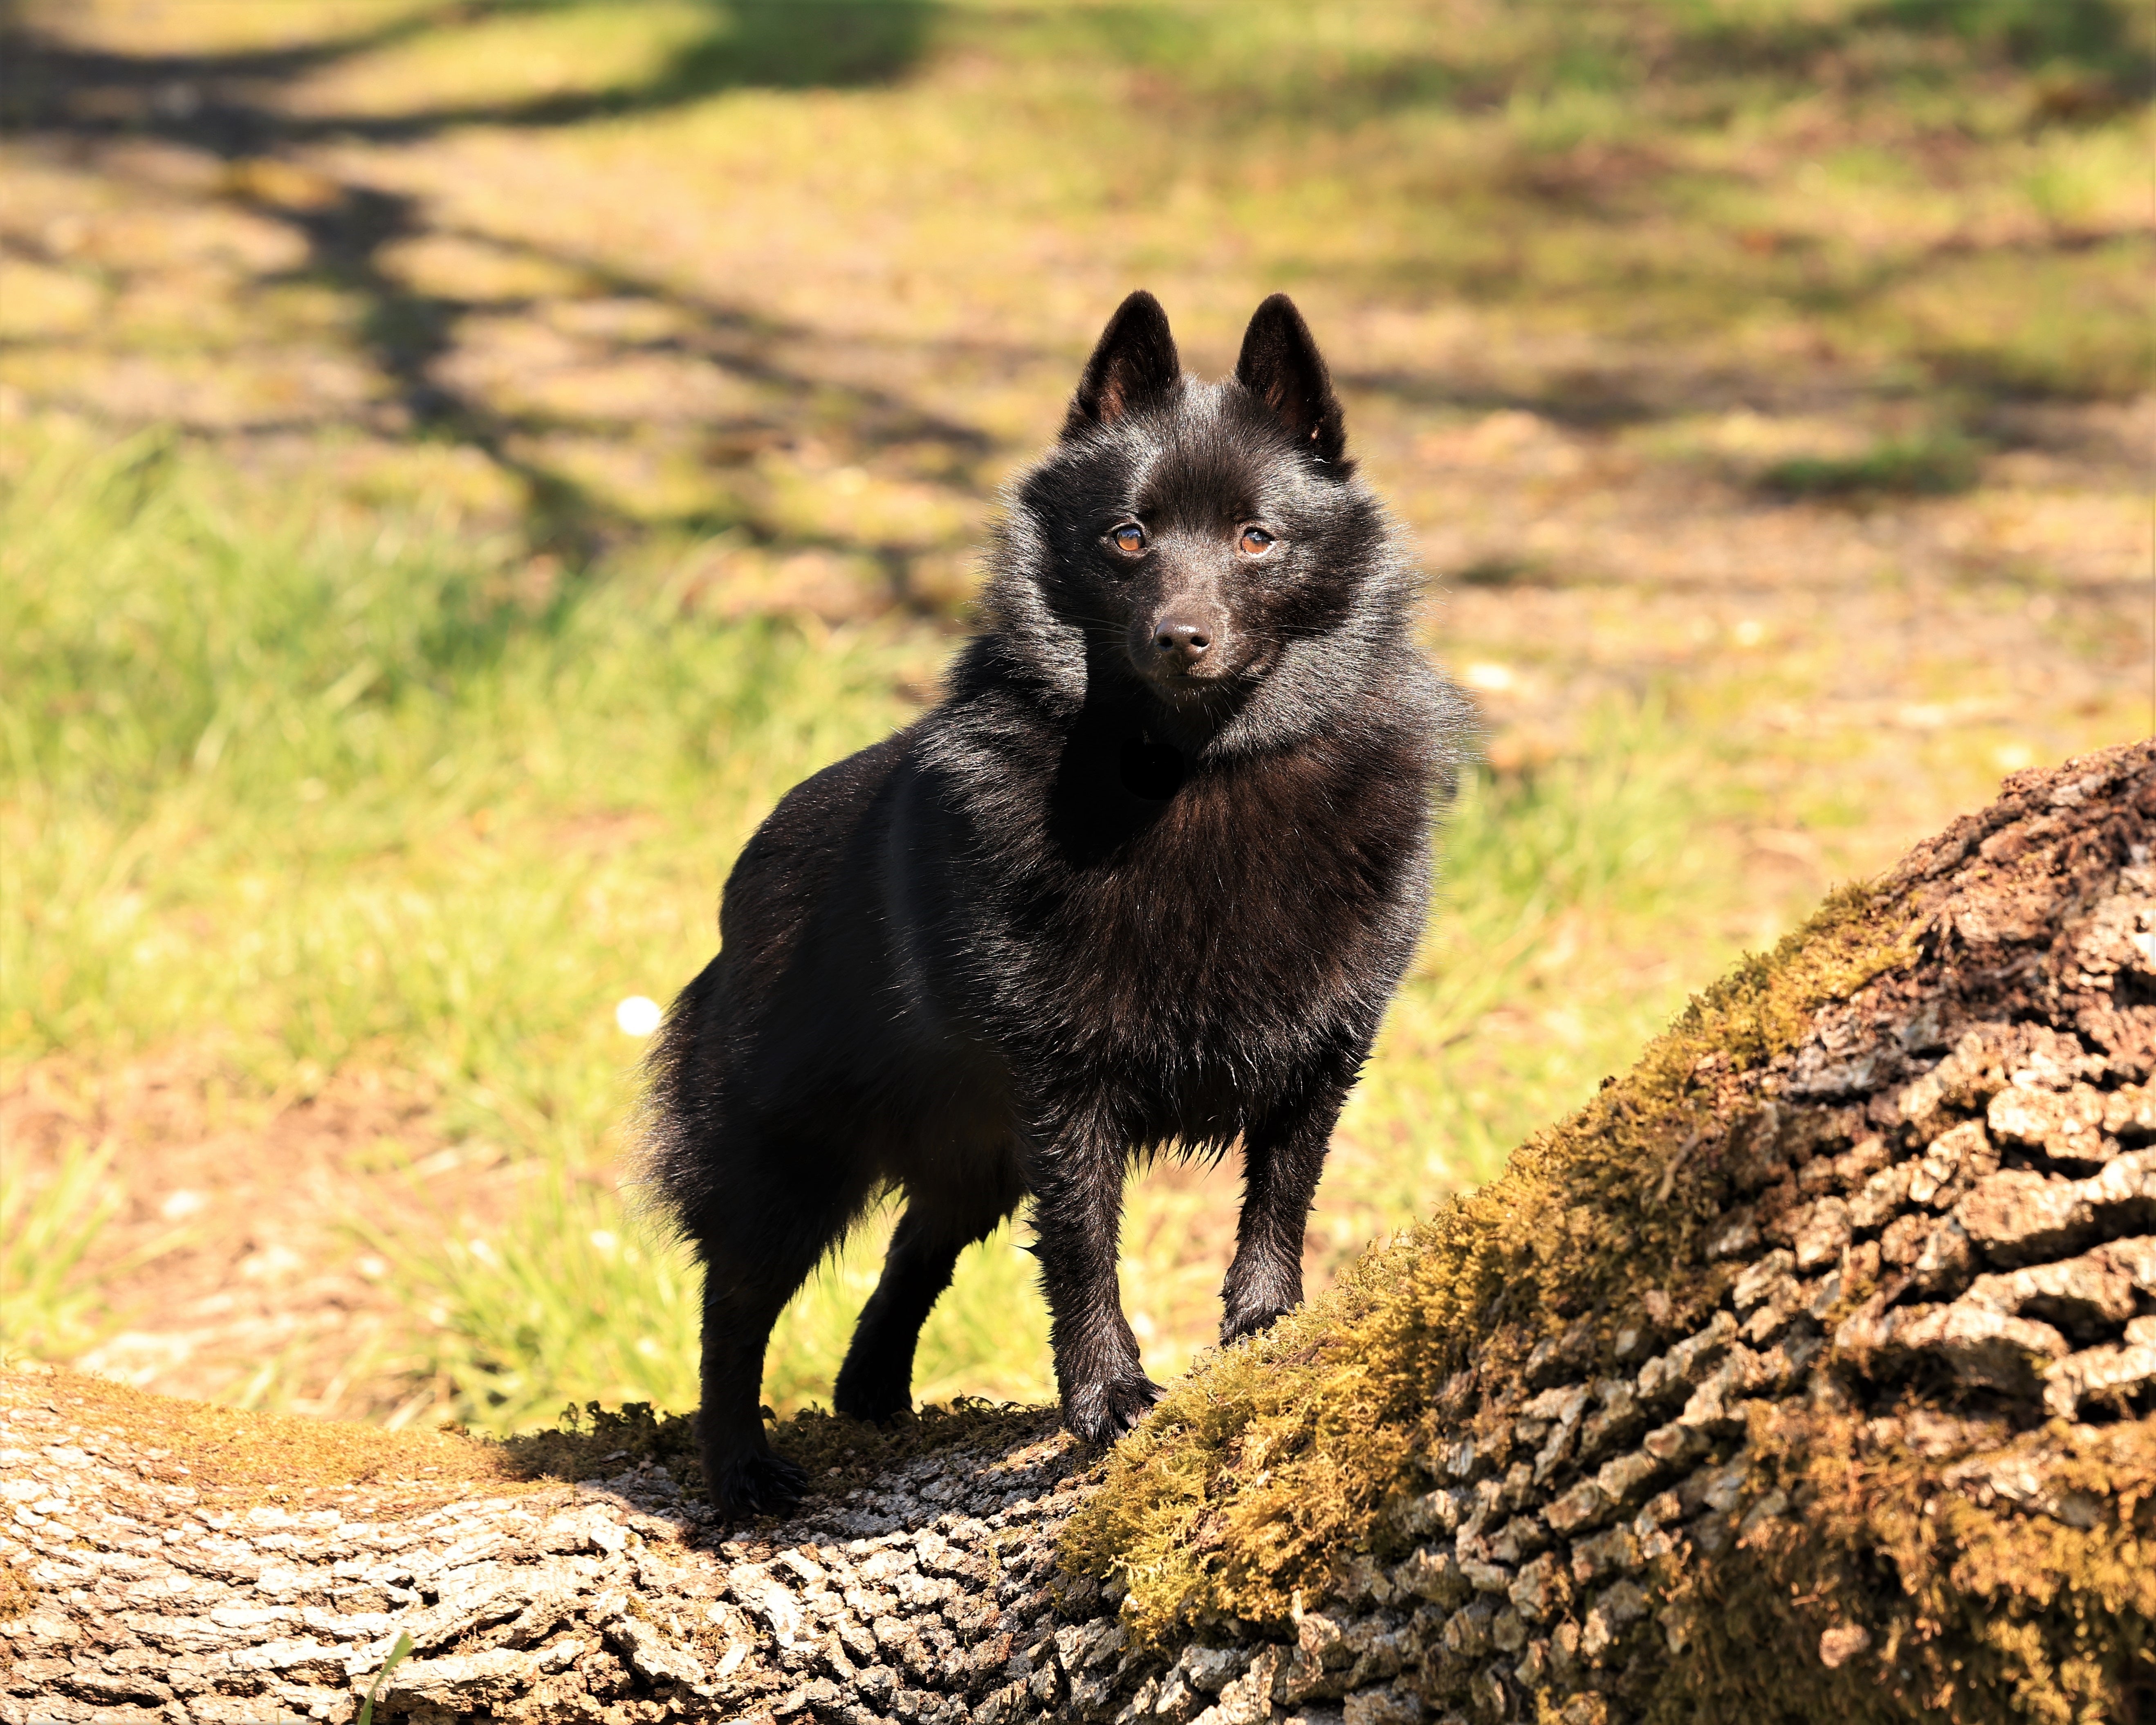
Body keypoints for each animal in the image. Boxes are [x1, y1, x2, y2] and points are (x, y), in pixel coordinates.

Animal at [638, 289, 1466, 1518]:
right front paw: (1105, 1396)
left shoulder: (1324, 1048)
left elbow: (1282, 1195)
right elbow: (1083, 1245)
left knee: (912, 1253)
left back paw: (871, 1389)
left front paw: (1265, 1326)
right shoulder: (1064, 1087)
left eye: (1256, 538)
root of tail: (747, 870)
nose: (1182, 636)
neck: (1189, 775)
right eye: (1128, 537)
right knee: (731, 1308)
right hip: (787, 1154)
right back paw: (739, 1466)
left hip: (969, 1154)